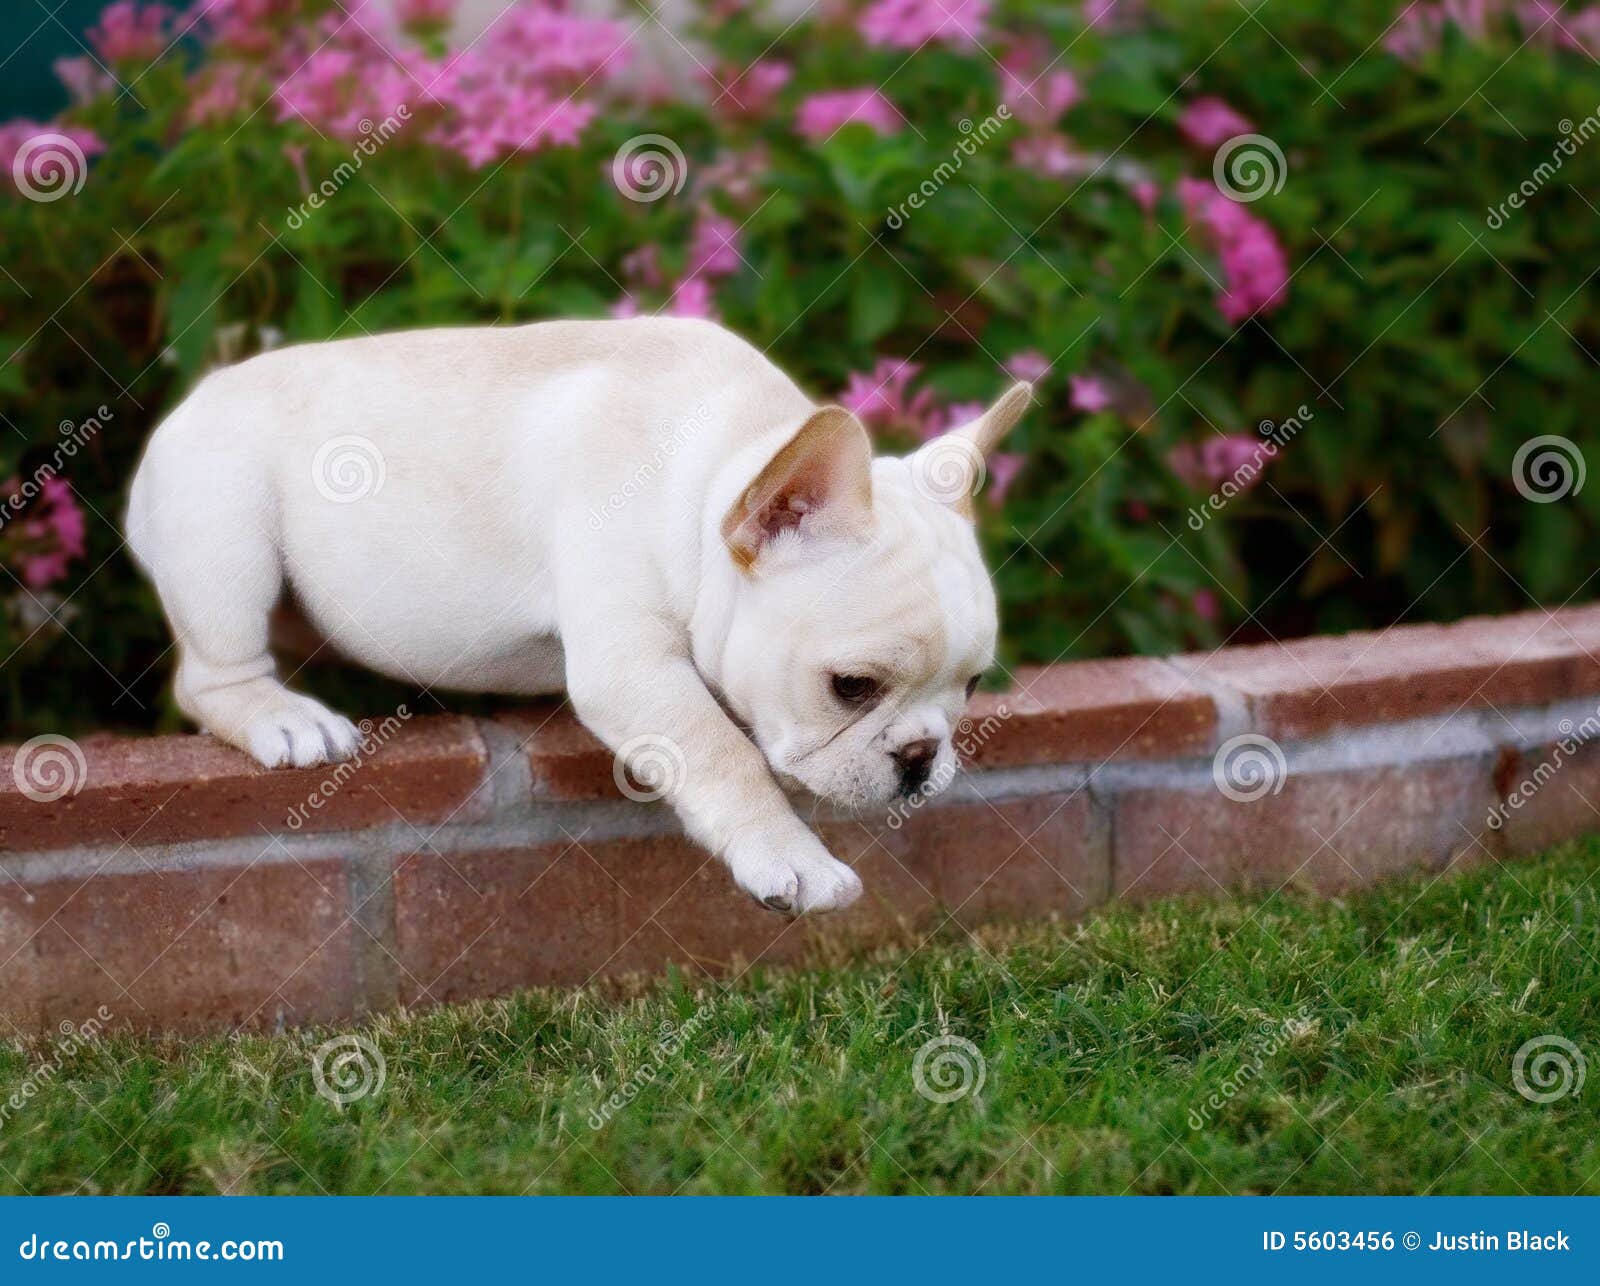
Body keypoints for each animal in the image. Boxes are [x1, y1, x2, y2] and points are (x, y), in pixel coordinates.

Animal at [121, 315, 1024, 908]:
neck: (715, 472)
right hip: (225, 531)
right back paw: (283, 716)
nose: (921, 758)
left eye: (973, 687)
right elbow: (723, 753)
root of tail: (183, 410)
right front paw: (790, 858)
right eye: (851, 687)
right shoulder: (631, 668)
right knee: (210, 676)